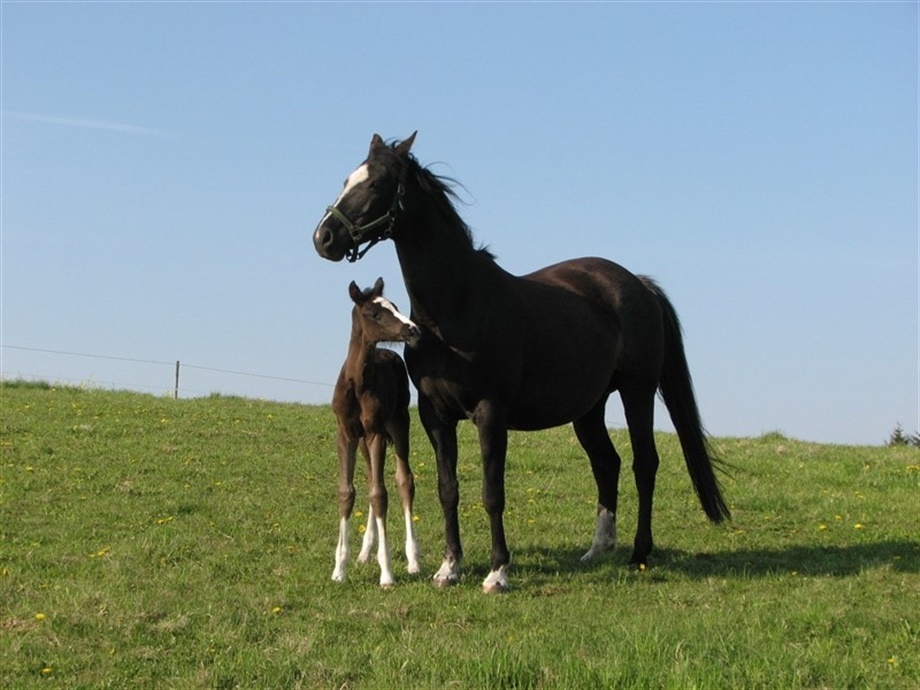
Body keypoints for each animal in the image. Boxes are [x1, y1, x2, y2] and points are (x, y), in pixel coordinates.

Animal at [331, 277, 422, 587]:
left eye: (394, 306)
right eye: (375, 313)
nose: (413, 329)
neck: (358, 384)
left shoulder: (377, 433)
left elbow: (380, 494)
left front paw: (387, 573)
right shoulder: (347, 434)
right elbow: (348, 492)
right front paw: (339, 568)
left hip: (399, 422)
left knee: (404, 482)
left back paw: (413, 560)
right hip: (363, 442)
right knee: (372, 477)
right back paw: (364, 552)